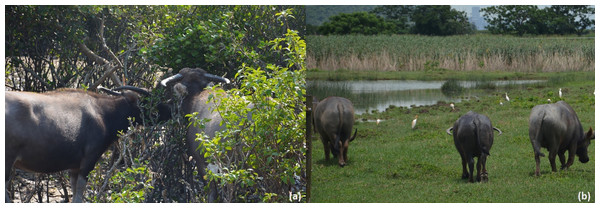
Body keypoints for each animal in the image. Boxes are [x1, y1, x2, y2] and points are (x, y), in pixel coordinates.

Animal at [6, 85, 171, 202]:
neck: (103, 113)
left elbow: (74, 190)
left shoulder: (74, 166)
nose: (170, 110)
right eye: (151, 102)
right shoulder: (89, 159)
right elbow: (80, 192)